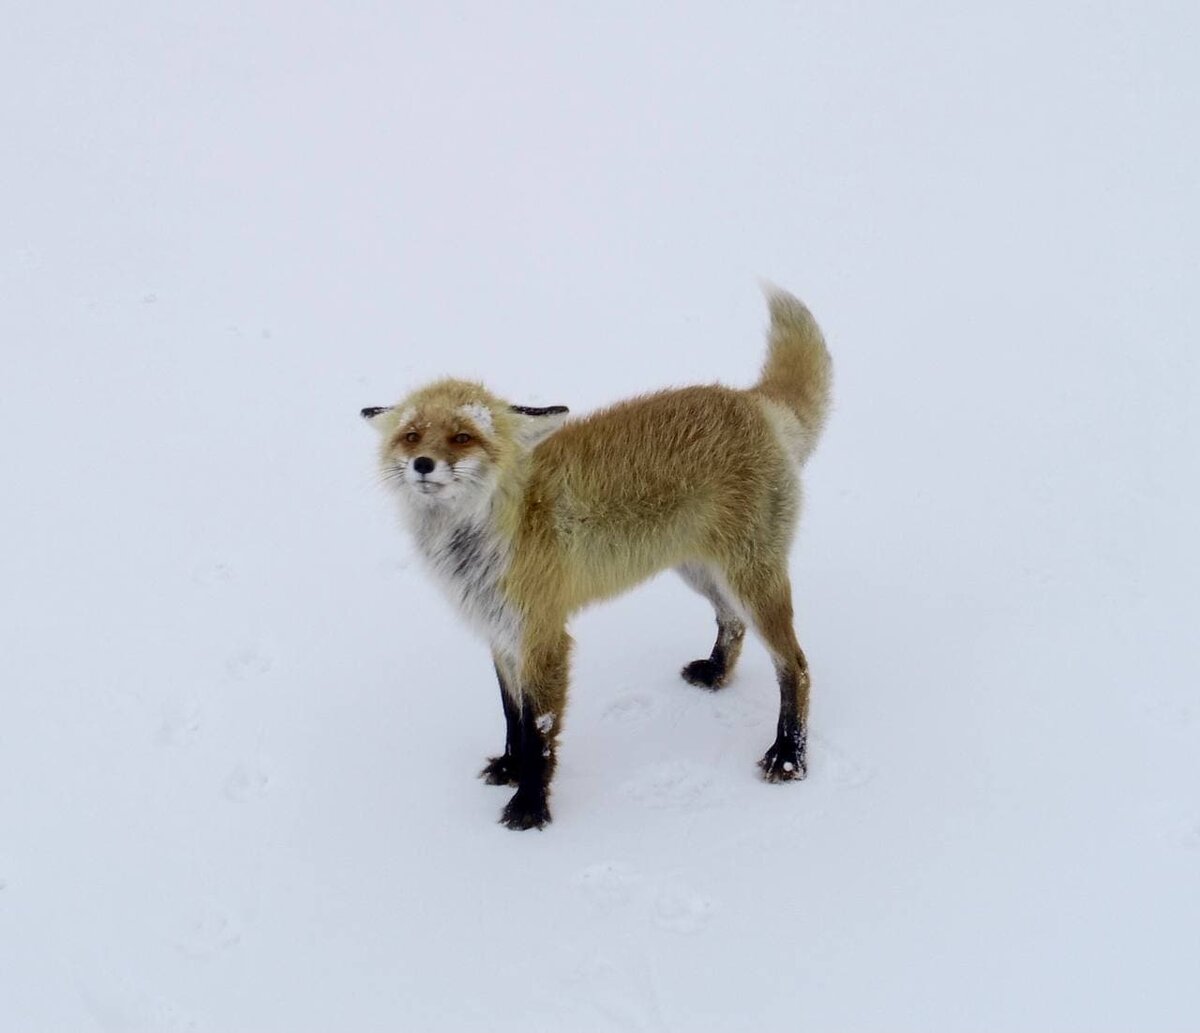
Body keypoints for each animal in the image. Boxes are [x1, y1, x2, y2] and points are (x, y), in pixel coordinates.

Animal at [362, 284, 835, 830]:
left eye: (463, 436)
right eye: (411, 436)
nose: (422, 464)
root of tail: (750, 400)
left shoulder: (543, 637)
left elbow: (539, 734)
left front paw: (530, 807)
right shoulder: (500, 634)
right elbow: (512, 717)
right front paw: (509, 767)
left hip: (751, 579)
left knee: (796, 666)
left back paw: (789, 757)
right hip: (701, 571)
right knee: (732, 623)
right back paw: (717, 675)